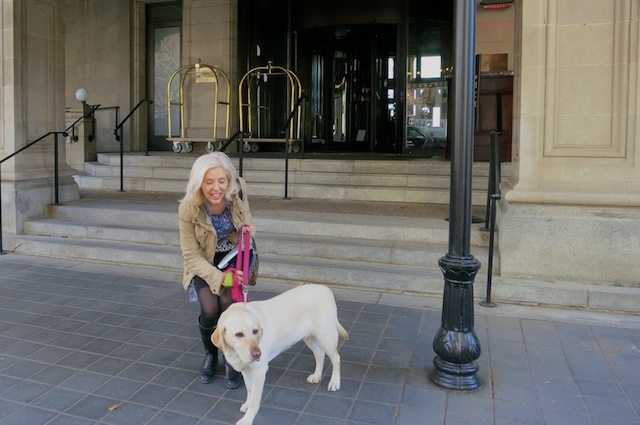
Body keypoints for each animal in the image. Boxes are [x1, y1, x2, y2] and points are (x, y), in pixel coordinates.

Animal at [212, 282, 348, 424]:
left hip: (326, 337)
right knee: (320, 355)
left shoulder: (259, 371)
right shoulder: (246, 370)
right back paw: (316, 376)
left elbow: (255, 398)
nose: (258, 354)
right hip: (310, 338)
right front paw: (247, 404)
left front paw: (247, 419)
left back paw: (335, 382)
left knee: (336, 359)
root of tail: (325, 289)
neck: (236, 353)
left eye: (255, 331)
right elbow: (249, 390)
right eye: (239, 334)